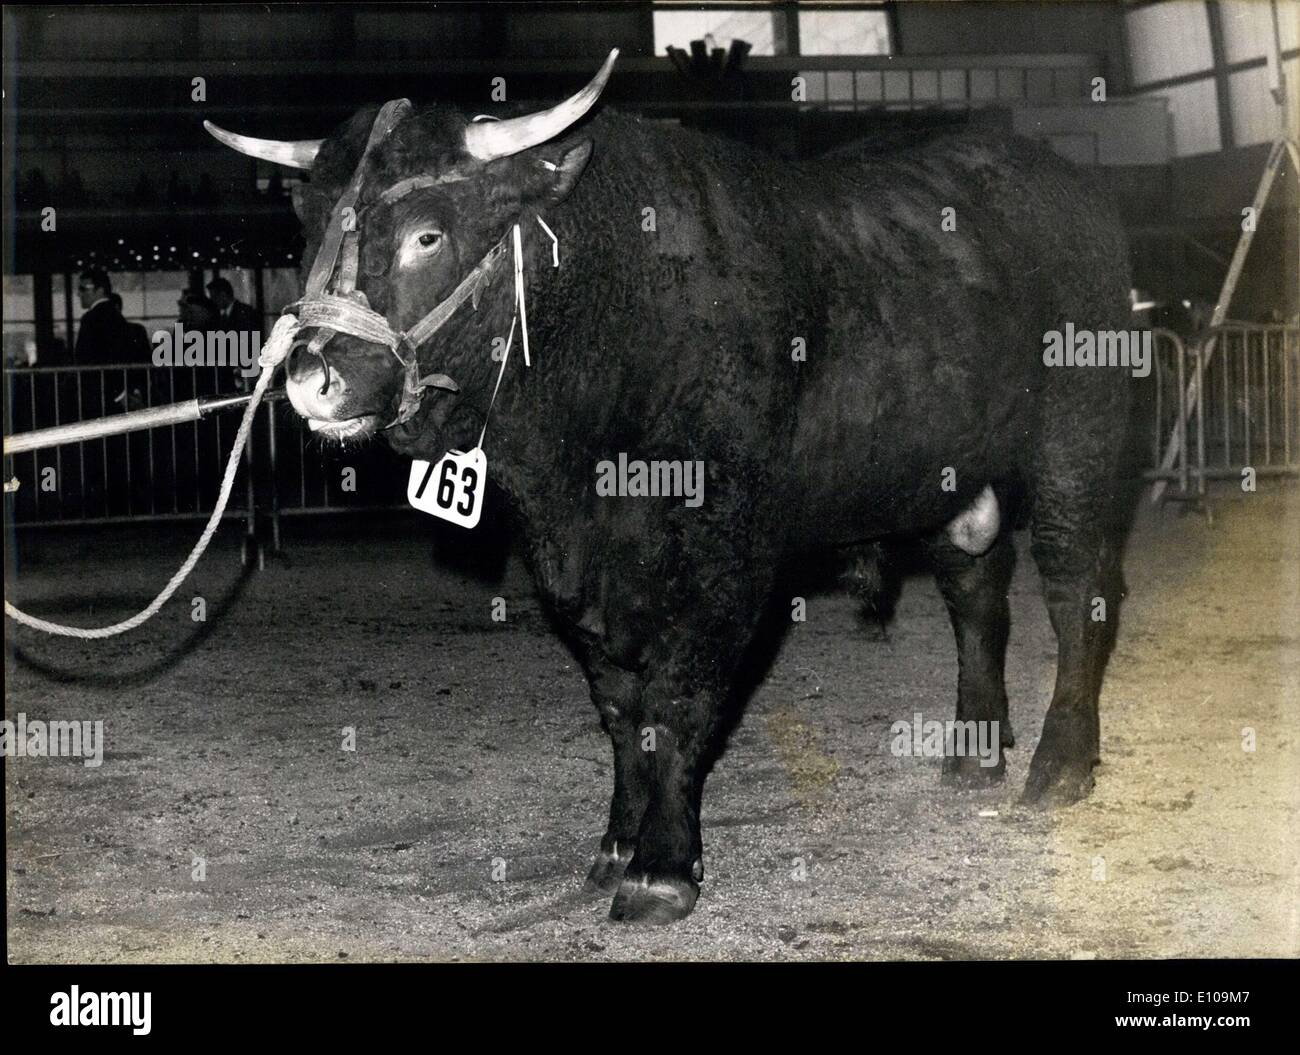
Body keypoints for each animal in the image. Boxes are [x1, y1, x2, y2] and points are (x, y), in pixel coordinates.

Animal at [269, 103, 1133, 919]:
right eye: (310, 231)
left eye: (428, 233)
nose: (310, 378)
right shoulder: (571, 564)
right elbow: (622, 706)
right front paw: (619, 840)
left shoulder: (726, 553)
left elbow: (680, 697)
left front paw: (662, 866)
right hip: (950, 469)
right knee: (975, 586)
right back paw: (975, 751)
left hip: (1080, 437)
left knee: (1076, 589)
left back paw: (1061, 762)